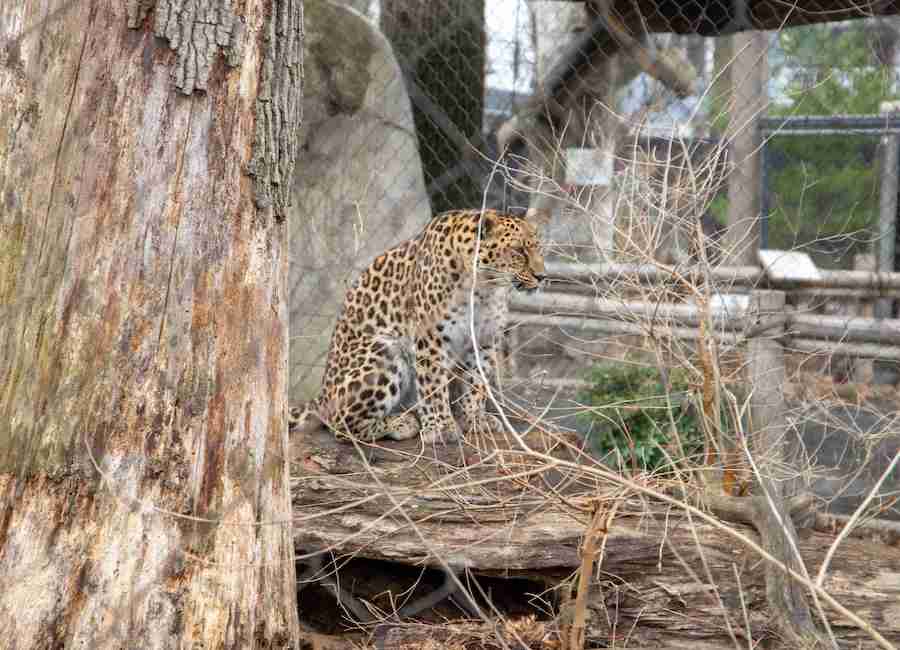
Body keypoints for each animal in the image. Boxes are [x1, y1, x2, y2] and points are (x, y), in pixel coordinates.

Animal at [292, 208, 544, 440]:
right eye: (518, 250)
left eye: (538, 248)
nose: (542, 276)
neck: (485, 287)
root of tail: (322, 395)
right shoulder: (431, 335)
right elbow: (433, 383)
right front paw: (441, 428)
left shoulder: (484, 338)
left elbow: (476, 382)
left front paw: (475, 419)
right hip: (384, 351)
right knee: (341, 423)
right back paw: (402, 423)